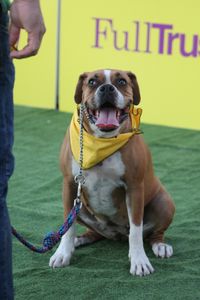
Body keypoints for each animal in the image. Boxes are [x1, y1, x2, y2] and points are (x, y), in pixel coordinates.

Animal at [49, 69, 175, 276]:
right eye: (92, 82)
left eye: (122, 81)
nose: (107, 88)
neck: (101, 141)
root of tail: (116, 234)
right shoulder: (70, 184)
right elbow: (68, 227)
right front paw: (63, 253)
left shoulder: (134, 188)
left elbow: (136, 230)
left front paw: (139, 260)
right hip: (80, 206)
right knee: (92, 231)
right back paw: (80, 240)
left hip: (165, 202)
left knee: (153, 233)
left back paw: (160, 246)